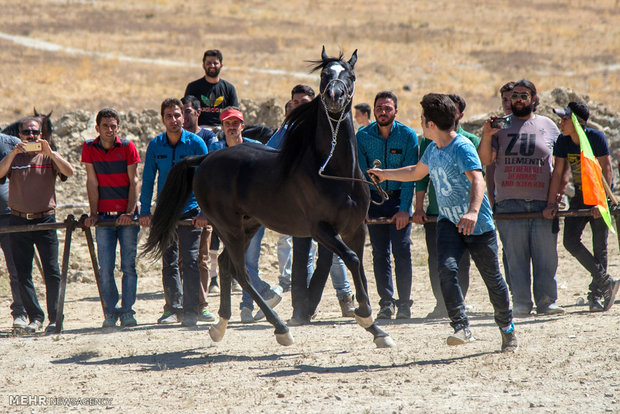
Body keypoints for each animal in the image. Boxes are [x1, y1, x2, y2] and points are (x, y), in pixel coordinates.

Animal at [147, 47, 392, 348]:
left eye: (351, 76)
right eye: (325, 75)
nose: (334, 97)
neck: (335, 173)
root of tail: (205, 159)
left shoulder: (355, 229)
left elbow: (360, 269)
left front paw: (378, 331)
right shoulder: (321, 230)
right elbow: (353, 260)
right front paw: (365, 317)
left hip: (248, 225)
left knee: (226, 265)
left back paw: (220, 326)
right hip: (229, 228)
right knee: (239, 271)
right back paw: (280, 328)